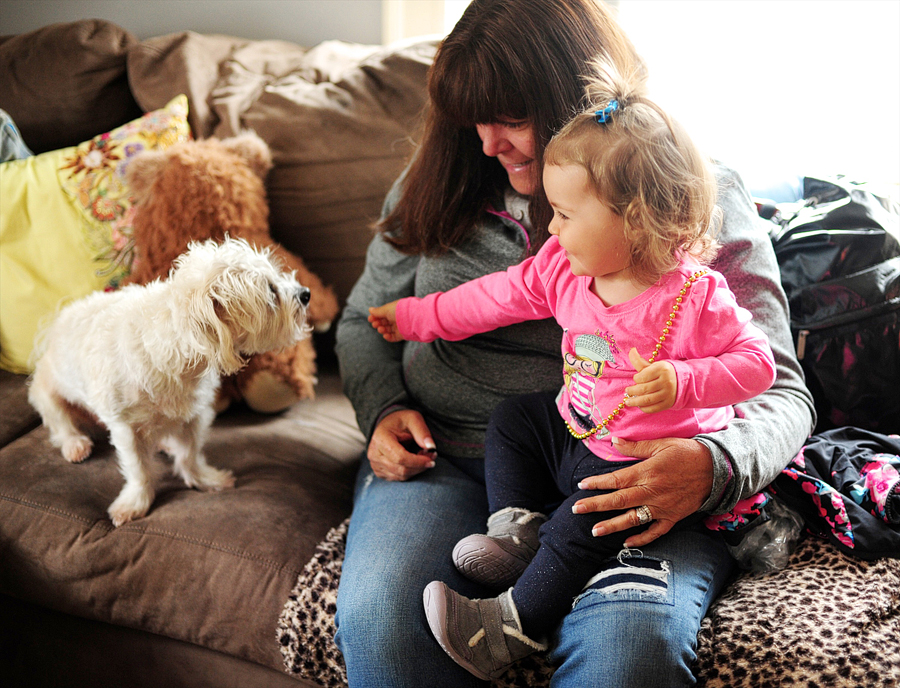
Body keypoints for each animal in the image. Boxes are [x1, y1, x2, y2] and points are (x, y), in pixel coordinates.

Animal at [29, 238, 312, 528]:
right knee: (60, 423)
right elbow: (138, 469)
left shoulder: (194, 414)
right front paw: (136, 501)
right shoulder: (125, 427)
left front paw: (203, 479)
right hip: (47, 394)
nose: (306, 293)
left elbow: (189, 454)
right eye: (271, 291)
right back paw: (74, 443)